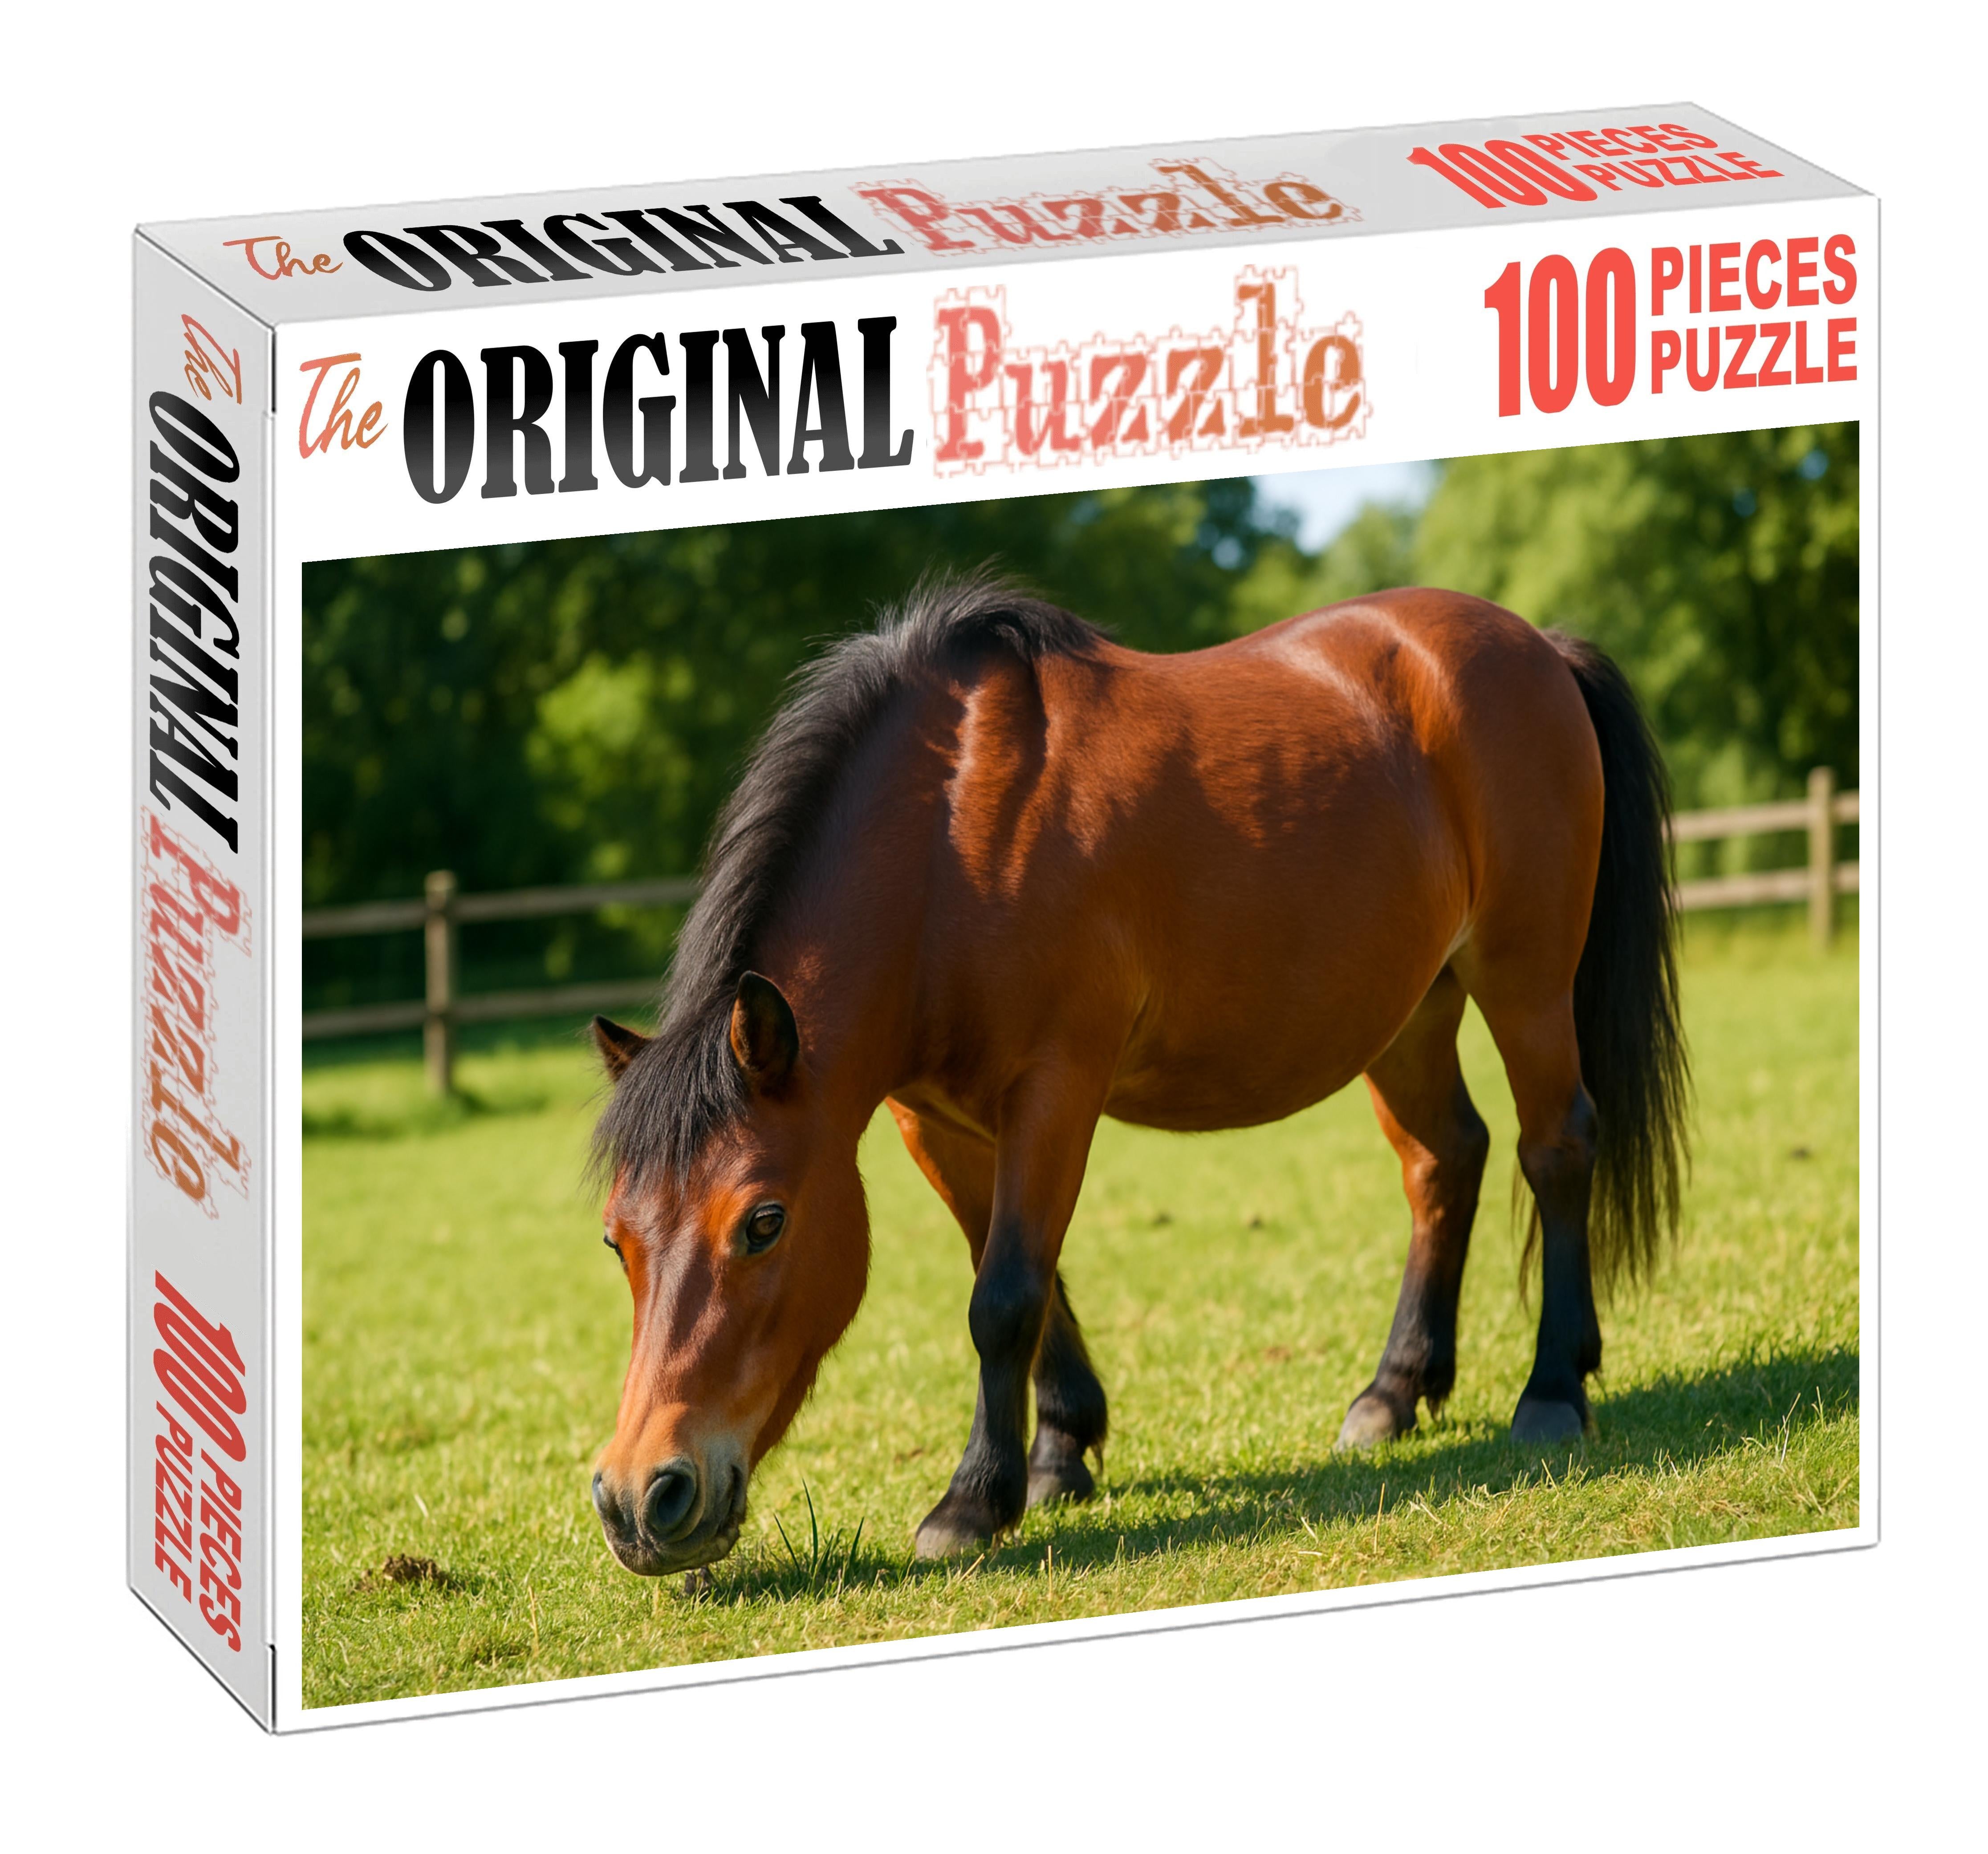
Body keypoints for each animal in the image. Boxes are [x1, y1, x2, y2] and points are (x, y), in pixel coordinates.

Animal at [585, 575, 1688, 1576]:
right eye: (615, 1241)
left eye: (763, 1223)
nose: (641, 1499)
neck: (952, 839)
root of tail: (1535, 644)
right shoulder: (932, 1120)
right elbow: (1018, 1275)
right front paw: (1057, 1453)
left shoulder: (1055, 1090)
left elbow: (1006, 1294)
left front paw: (972, 1503)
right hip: (1410, 1010)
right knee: (1444, 1160)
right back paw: (1394, 1391)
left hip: (1525, 980)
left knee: (1556, 1149)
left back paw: (1552, 1391)